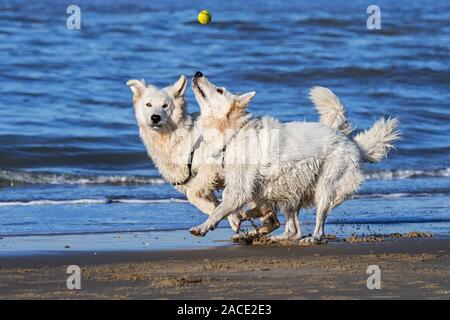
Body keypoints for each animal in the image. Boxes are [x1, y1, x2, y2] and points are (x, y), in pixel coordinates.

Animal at [188, 73, 400, 242]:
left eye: (219, 90)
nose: (198, 73)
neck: (234, 132)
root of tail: (351, 142)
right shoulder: (253, 186)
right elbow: (245, 206)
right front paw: (244, 218)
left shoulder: (240, 187)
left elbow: (220, 208)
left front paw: (203, 227)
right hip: (291, 188)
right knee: (293, 231)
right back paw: (272, 237)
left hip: (325, 184)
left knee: (318, 222)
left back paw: (313, 238)